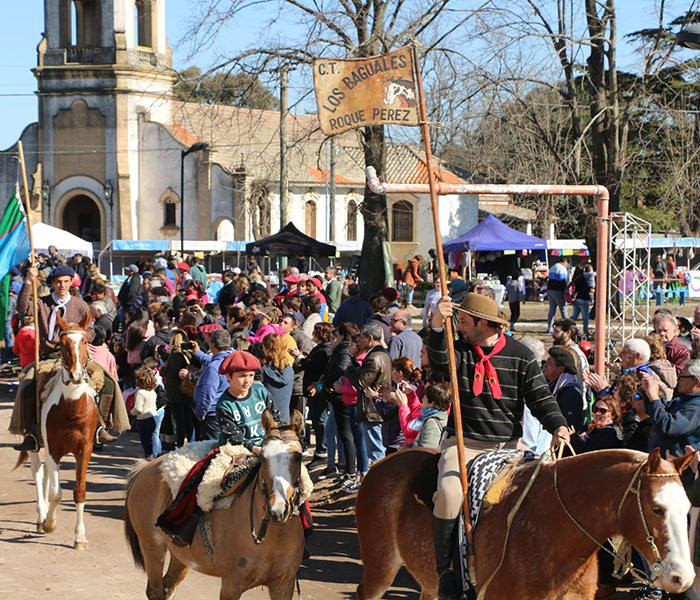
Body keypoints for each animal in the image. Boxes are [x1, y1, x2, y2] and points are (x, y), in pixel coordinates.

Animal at [15, 312, 98, 552]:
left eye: (85, 341)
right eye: (62, 344)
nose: (76, 374)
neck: (72, 408)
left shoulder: (84, 450)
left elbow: (79, 491)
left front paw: (80, 537)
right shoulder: (53, 449)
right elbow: (56, 493)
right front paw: (49, 523)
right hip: (33, 443)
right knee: (38, 471)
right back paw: (41, 516)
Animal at [124, 408, 304, 600]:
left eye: (298, 457)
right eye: (262, 457)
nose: (277, 510)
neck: (272, 536)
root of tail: (145, 467)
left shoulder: (283, 585)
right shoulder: (231, 586)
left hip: (181, 556)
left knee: (168, 588)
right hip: (152, 547)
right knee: (156, 590)